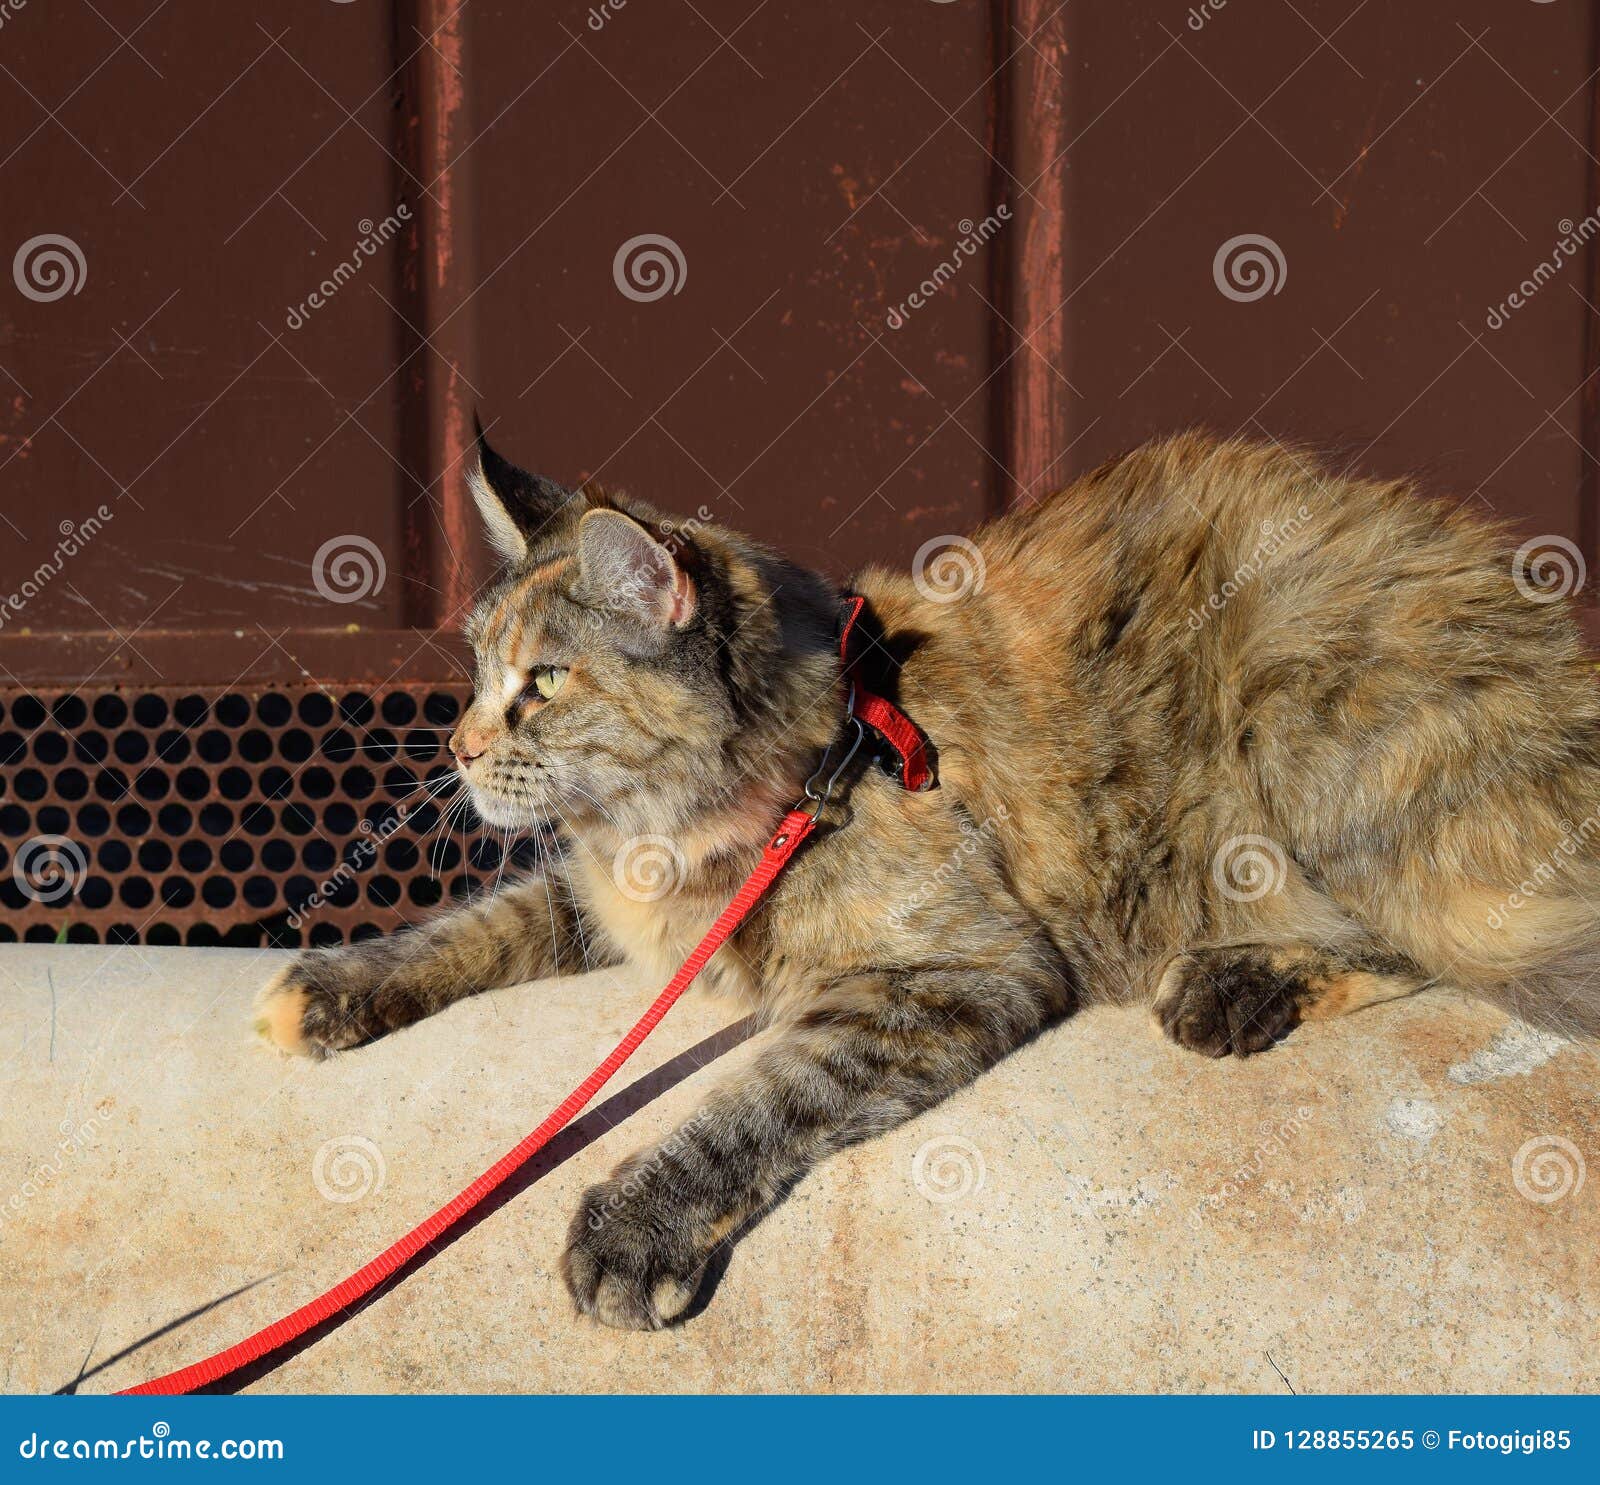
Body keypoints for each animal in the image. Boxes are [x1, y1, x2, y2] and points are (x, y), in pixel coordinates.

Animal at [256, 428, 1593, 1331]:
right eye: (478, 671)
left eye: (540, 682)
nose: (455, 746)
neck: (816, 754)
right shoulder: (626, 903)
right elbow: (483, 923)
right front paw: (338, 984)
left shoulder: (952, 971)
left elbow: (758, 1096)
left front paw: (635, 1221)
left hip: (1300, 699)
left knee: (1467, 949)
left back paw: (1236, 980)